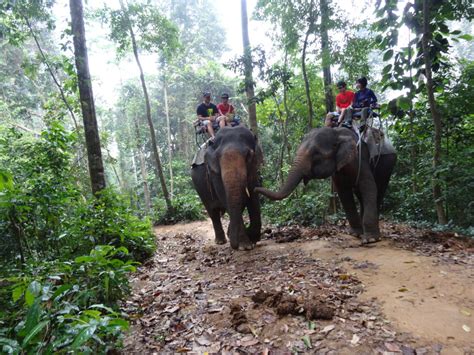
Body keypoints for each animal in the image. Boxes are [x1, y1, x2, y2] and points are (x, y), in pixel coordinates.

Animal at [256, 126, 396, 246]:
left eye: (316, 154)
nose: (254, 188)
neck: (337, 133)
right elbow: (343, 192)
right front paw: (355, 234)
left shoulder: (360, 158)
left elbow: (368, 185)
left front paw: (370, 239)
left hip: (387, 162)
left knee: (379, 189)